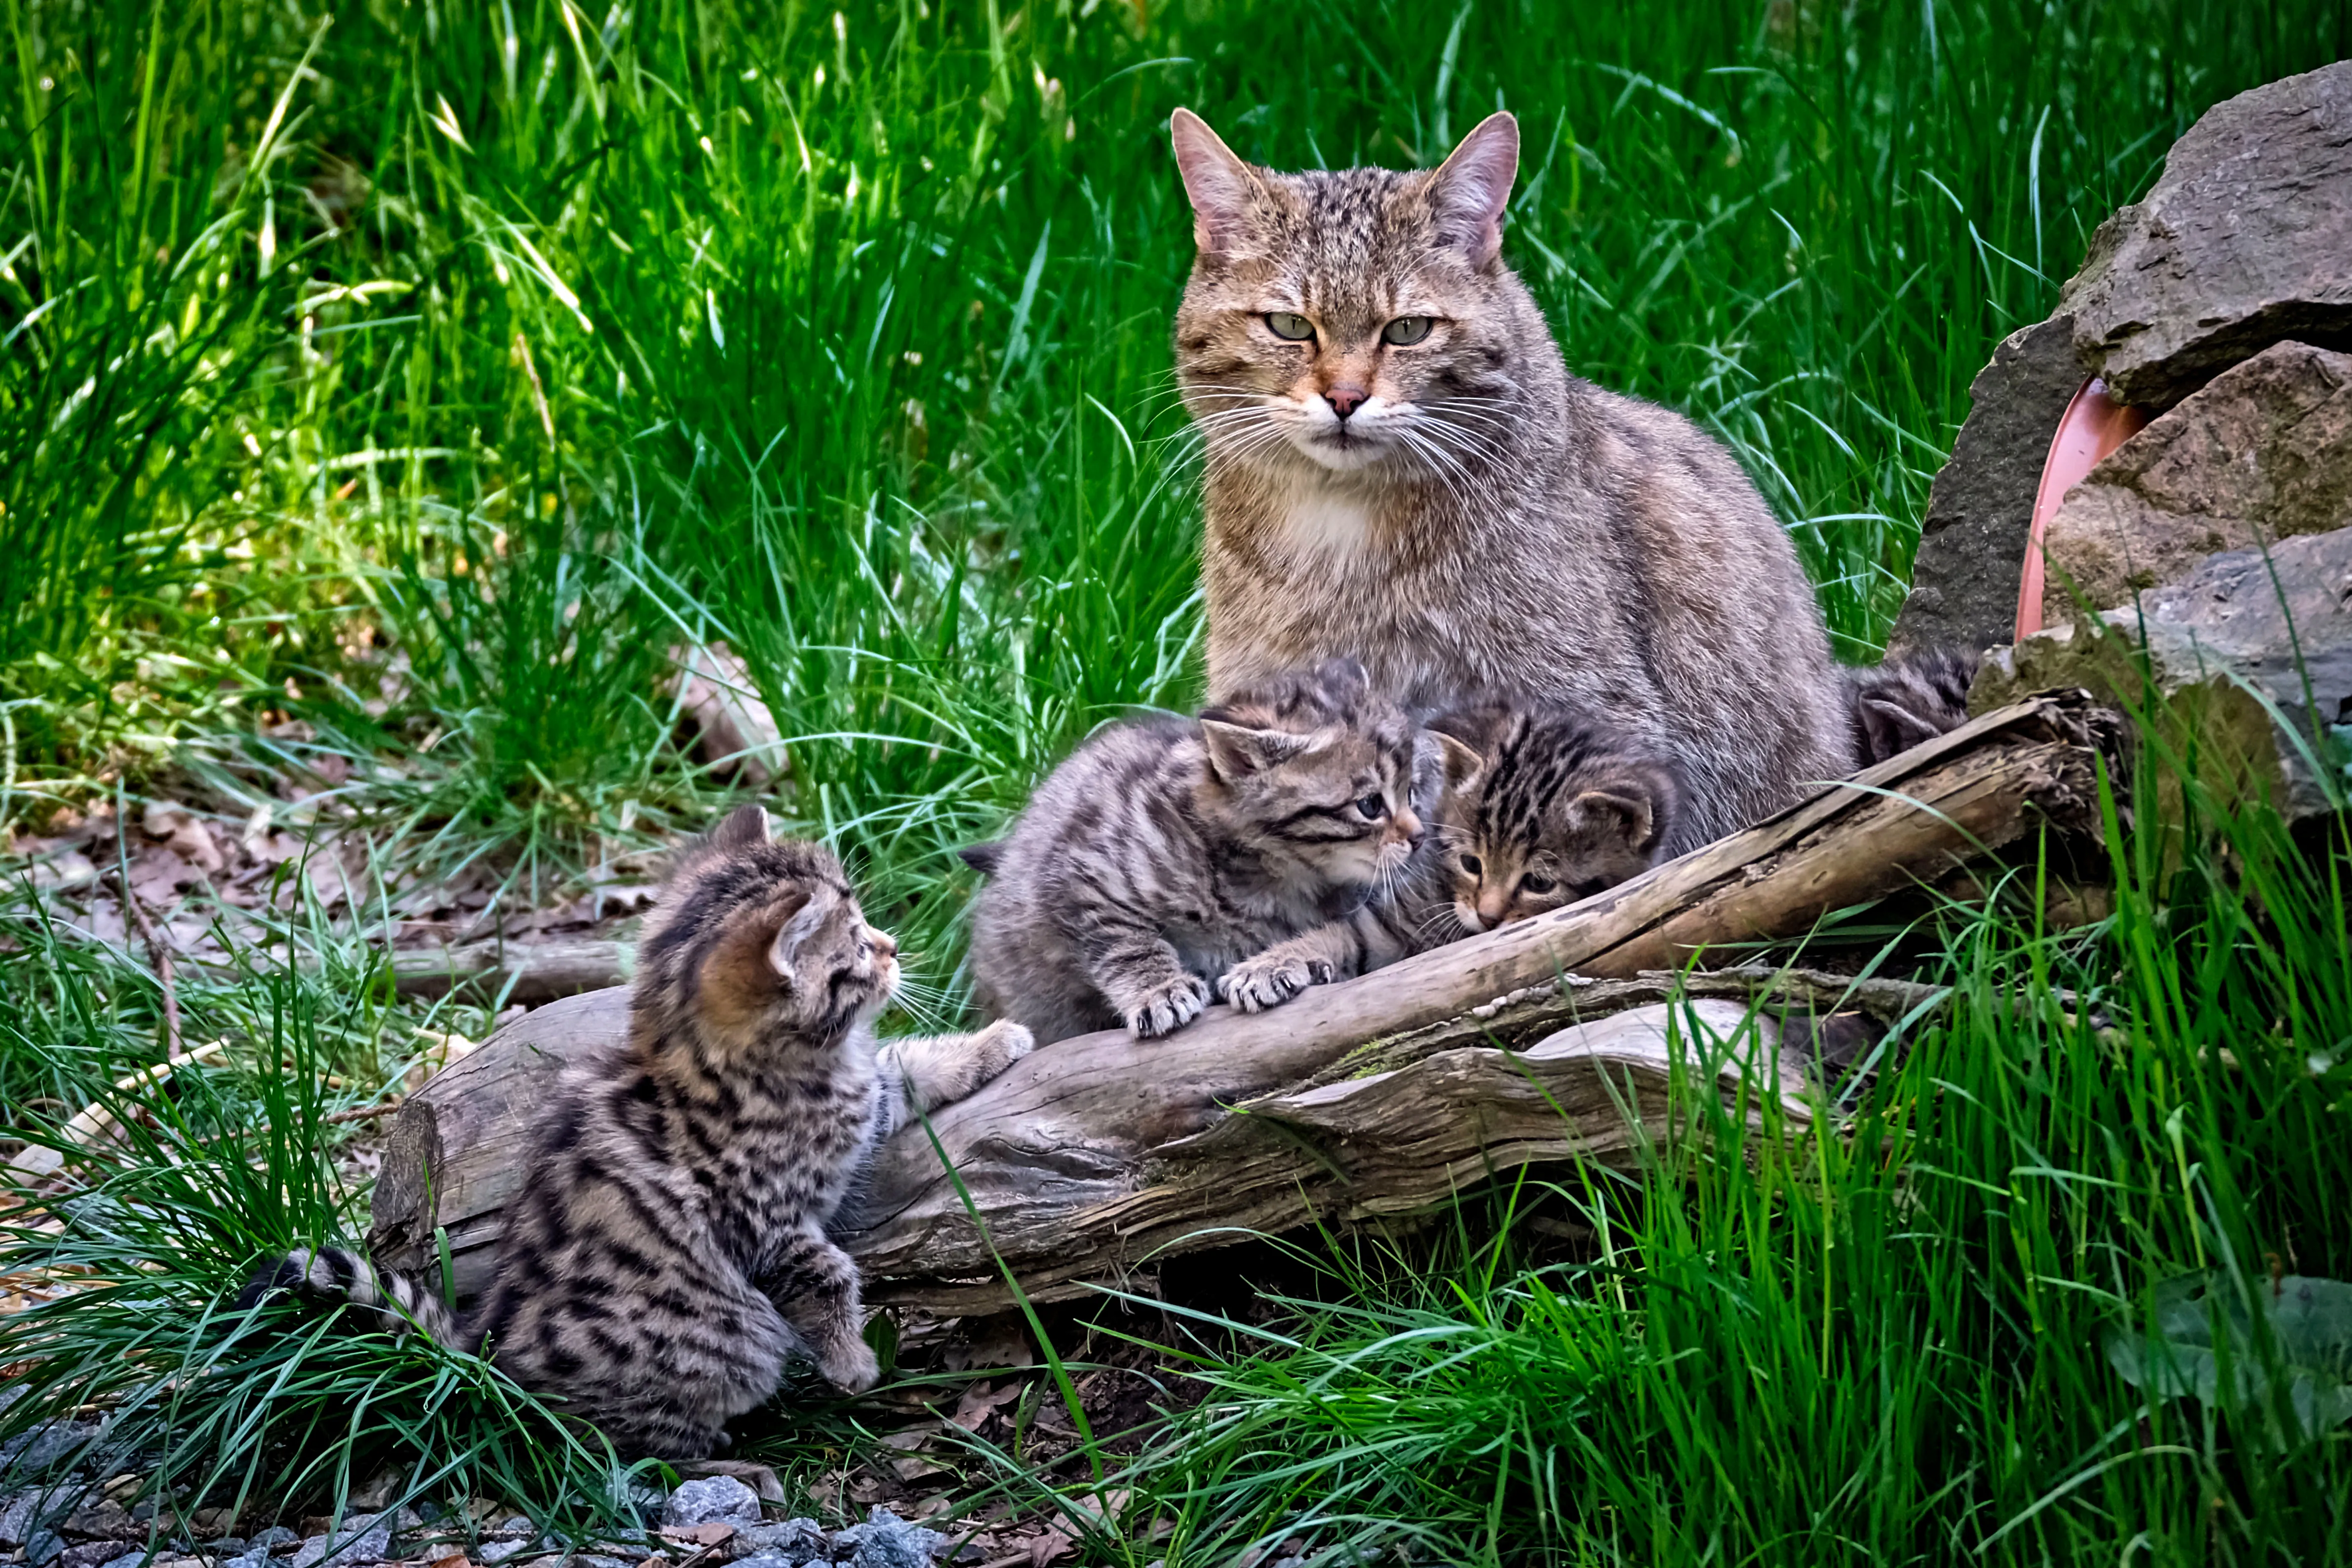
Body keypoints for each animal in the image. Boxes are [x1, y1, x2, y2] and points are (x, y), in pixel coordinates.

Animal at [241, 808, 1039, 1457]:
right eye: (858, 947)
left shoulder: (864, 1101)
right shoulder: (762, 1224)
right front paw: (851, 1362)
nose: (895, 944)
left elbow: (901, 1069)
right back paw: (720, 1451)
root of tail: (489, 1343)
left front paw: (994, 1042)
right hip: (722, 1339)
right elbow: (825, 1272)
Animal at [964, 658, 1420, 1048]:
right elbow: (1128, 943)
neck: (1268, 873)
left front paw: (1282, 969)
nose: (1419, 837)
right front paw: (1158, 990)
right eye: (1370, 806)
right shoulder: (1085, 876)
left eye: (1411, 792)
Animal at [1223, 705, 1684, 1011]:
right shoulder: (1393, 925)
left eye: (1538, 883)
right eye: (1471, 864)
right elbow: (1343, 934)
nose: (1488, 917)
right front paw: (1269, 965)